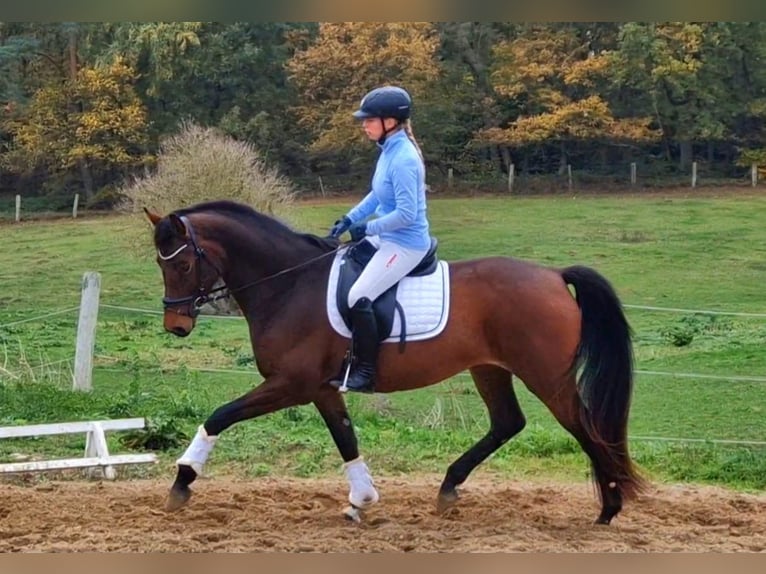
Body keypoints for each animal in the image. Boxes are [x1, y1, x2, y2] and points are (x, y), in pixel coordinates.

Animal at [146, 199, 648, 528]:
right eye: (160, 263)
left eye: (183, 264)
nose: (176, 325)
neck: (289, 286)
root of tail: (553, 276)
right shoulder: (322, 389)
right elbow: (346, 439)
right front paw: (361, 500)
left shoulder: (291, 383)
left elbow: (219, 416)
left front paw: (182, 481)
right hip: (489, 368)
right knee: (508, 422)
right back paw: (448, 489)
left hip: (546, 375)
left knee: (585, 426)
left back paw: (609, 509)